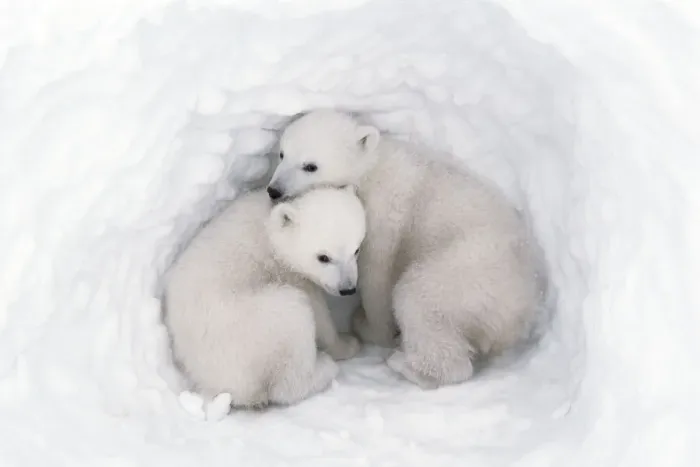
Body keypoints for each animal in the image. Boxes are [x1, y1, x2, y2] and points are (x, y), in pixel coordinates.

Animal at [163, 185, 365, 408]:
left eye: (356, 249)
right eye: (323, 257)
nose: (347, 289)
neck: (272, 232)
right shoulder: (289, 273)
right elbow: (318, 311)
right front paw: (347, 344)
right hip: (254, 329)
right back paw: (324, 367)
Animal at [266, 109, 541, 389]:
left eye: (310, 165)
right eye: (282, 153)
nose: (273, 190)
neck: (371, 167)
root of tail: (519, 311)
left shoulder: (383, 210)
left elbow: (376, 272)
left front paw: (370, 326)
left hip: (467, 273)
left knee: (418, 298)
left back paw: (405, 362)